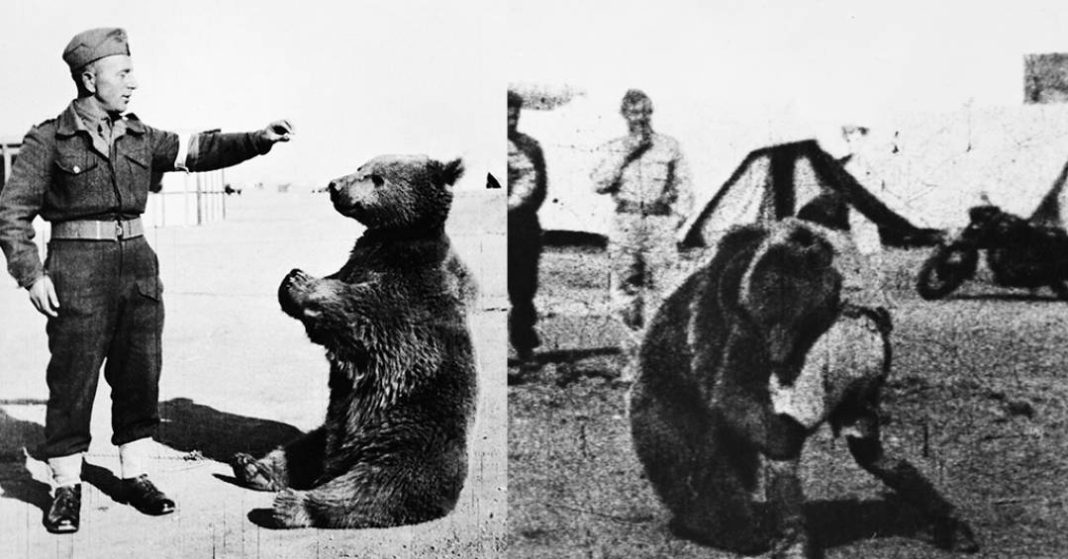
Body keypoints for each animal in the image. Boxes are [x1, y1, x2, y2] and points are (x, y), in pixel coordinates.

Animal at [230, 154, 478, 529]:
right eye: (361, 166)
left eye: (377, 177)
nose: (335, 185)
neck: (394, 237)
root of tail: (339, 461)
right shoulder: (357, 259)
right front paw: (292, 277)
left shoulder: (409, 290)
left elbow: (360, 312)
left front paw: (302, 282)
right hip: (329, 430)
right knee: (300, 448)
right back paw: (253, 466)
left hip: (408, 441)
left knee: (375, 486)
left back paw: (293, 505)